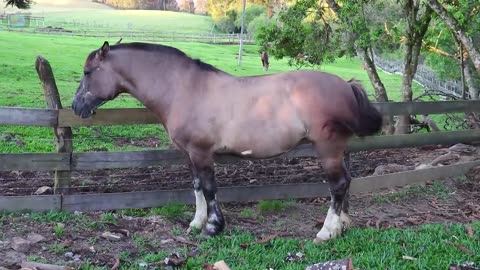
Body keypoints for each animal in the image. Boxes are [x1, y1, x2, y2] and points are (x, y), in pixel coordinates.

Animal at [71, 41, 382, 243]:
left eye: (87, 72)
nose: (75, 106)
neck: (184, 89)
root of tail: (346, 85)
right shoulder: (189, 154)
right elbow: (197, 187)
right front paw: (196, 223)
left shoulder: (201, 153)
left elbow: (210, 189)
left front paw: (213, 227)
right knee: (346, 183)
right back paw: (342, 226)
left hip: (328, 149)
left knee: (338, 185)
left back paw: (326, 232)